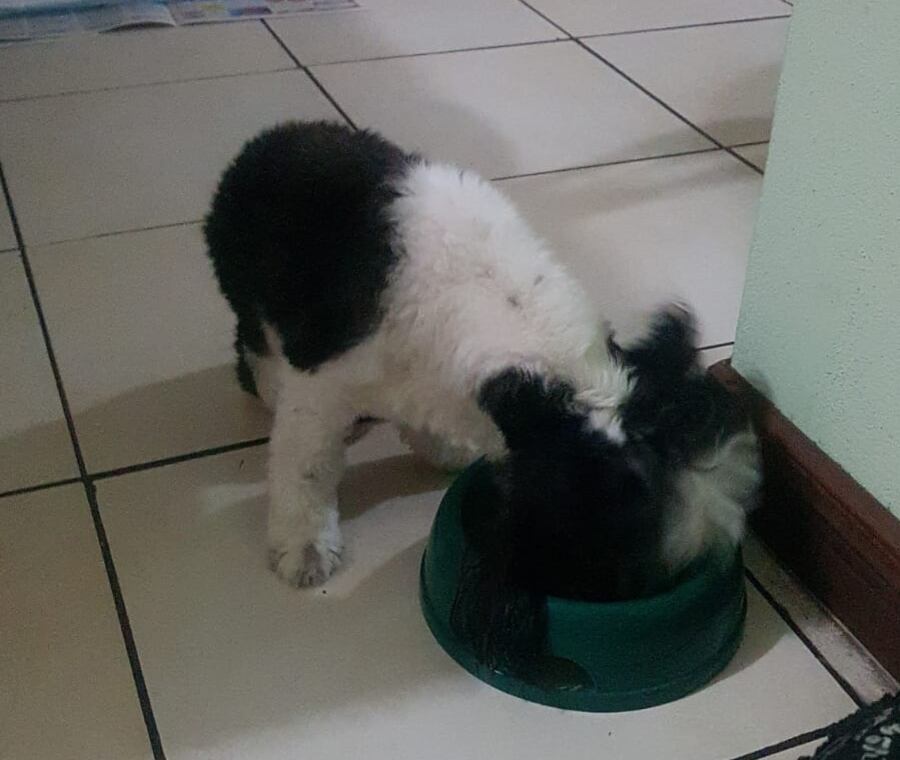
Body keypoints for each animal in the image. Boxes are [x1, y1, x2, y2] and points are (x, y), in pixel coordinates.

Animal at [204, 121, 760, 616]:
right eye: (603, 544)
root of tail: (270, 139)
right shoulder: (321, 387)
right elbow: (305, 466)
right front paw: (306, 546)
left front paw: (440, 447)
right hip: (249, 298)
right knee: (253, 348)